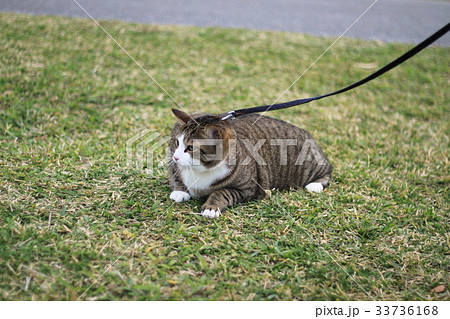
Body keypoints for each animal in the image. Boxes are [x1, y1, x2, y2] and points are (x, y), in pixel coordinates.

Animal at [167, 109, 332, 219]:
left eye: (190, 148)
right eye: (177, 143)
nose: (175, 157)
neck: (201, 170)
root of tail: (307, 134)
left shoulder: (248, 189)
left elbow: (222, 192)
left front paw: (211, 207)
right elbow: (177, 175)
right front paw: (180, 191)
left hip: (308, 164)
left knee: (328, 169)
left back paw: (315, 185)